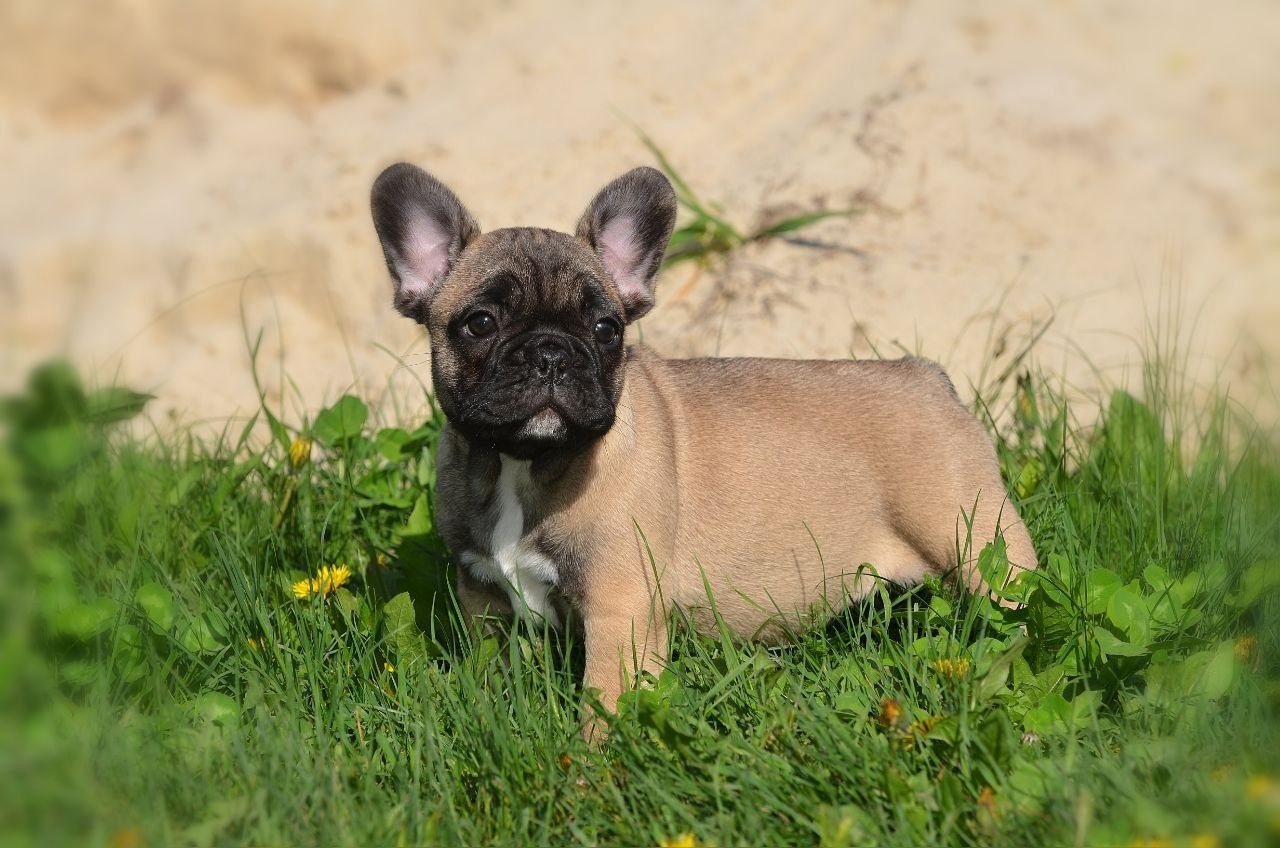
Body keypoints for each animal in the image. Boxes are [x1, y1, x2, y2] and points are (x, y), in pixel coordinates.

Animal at [371, 166, 1039, 722]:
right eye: (480, 323)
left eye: (606, 329)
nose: (552, 353)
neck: (523, 462)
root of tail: (927, 377)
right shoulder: (485, 597)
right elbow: (491, 673)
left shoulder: (621, 610)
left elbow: (605, 706)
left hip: (979, 544)